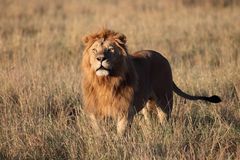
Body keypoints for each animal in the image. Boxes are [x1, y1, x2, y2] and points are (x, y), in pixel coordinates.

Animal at [81, 28, 221, 135]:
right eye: (94, 50)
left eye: (110, 49)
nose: (100, 58)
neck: (105, 82)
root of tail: (162, 56)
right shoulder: (95, 112)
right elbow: (99, 132)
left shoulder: (125, 111)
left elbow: (121, 132)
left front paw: (118, 144)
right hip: (147, 105)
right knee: (149, 120)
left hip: (165, 100)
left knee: (165, 120)